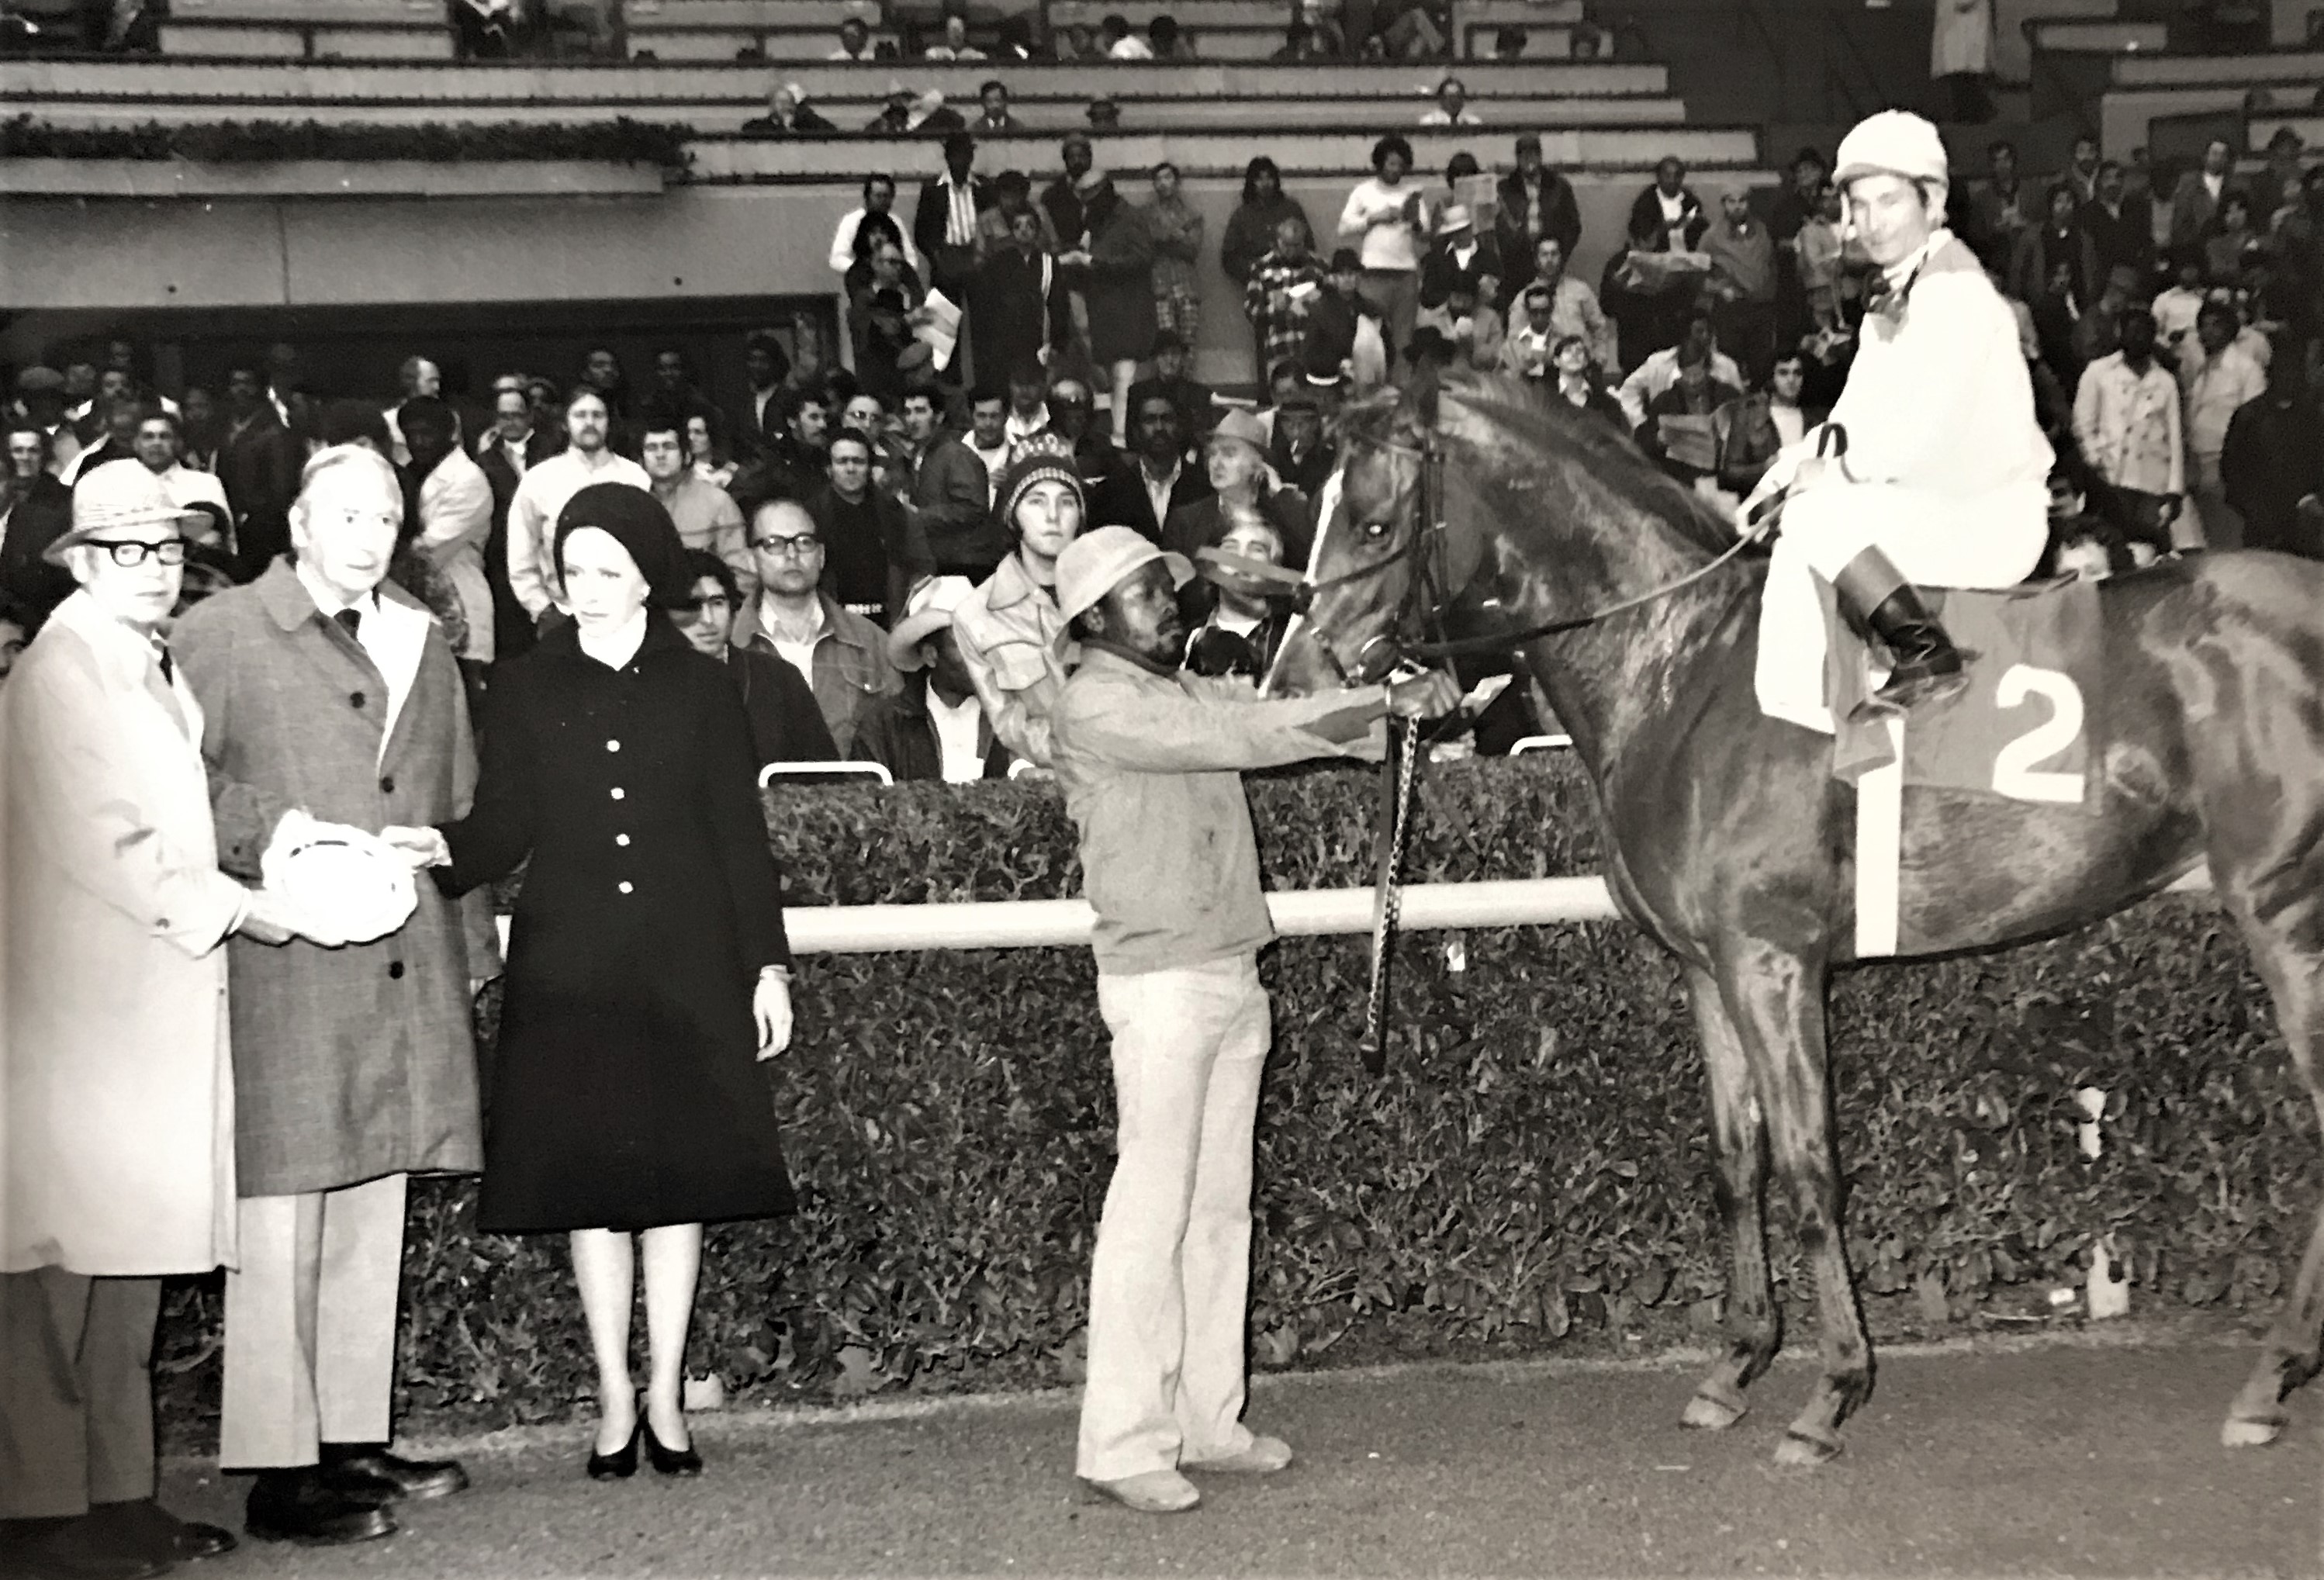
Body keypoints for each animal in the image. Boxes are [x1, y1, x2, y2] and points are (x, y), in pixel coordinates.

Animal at [1264, 365, 2324, 1459]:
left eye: (1374, 522)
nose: (1289, 681)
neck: (1680, 670)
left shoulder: (1770, 962)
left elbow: (1811, 1166)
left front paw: (1830, 1391)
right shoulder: (1706, 969)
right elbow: (1738, 1161)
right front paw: (1734, 1365)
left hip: (2283, 905)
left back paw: (2268, 1380)